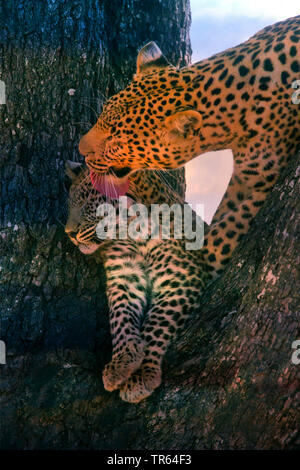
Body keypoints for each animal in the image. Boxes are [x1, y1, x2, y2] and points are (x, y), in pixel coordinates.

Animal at [78, 17, 298, 272]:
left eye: (116, 140)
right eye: (102, 114)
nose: (80, 150)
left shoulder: (263, 179)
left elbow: (233, 222)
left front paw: (203, 257)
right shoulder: (246, 176)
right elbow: (225, 211)